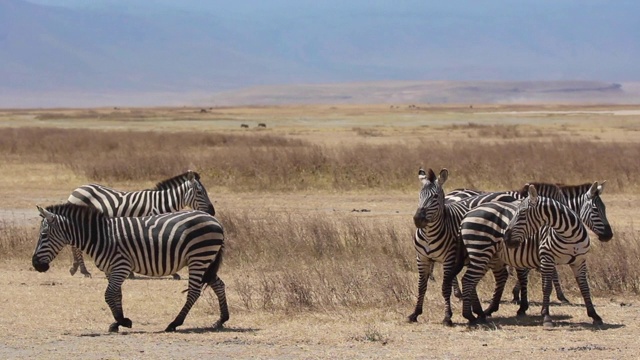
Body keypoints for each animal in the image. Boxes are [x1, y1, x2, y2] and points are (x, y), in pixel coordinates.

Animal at [32, 204, 229, 334]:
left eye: (44, 235)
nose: (35, 264)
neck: (100, 237)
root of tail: (215, 220)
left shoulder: (121, 266)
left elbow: (108, 294)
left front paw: (123, 321)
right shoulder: (112, 269)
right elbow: (116, 295)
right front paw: (117, 322)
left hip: (199, 256)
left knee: (194, 291)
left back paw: (174, 323)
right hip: (205, 260)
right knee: (219, 284)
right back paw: (221, 319)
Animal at [67, 170, 214, 280]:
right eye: (200, 192)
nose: (212, 212)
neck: (160, 204)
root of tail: (77, 190)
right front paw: (172, 272)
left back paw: (76, 268)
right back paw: (84, 270)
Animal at [410, 169, 520, 326]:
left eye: (435, 196)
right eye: (420, 194)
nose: (418, 219)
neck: (429, 235)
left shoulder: (449, 259)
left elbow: (445, 288)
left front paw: (447, 317)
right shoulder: (422, 258)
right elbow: (421, 286)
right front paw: (415, 313)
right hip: (492, 253)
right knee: (499, 276)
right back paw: (481, 311)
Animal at [458, 184, 612, 328]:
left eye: (603, 209)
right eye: (595, 210)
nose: (609, 235)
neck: (569, 234)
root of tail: (467, 213)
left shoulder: (579, 261)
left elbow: (584, 287)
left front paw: (594, 315)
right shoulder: (545, 257)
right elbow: (546, 285)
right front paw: (546, 315)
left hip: (488, 256)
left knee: (481, 280)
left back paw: (482, 313)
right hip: (480, 251)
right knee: (468, 280)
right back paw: (470, 315)